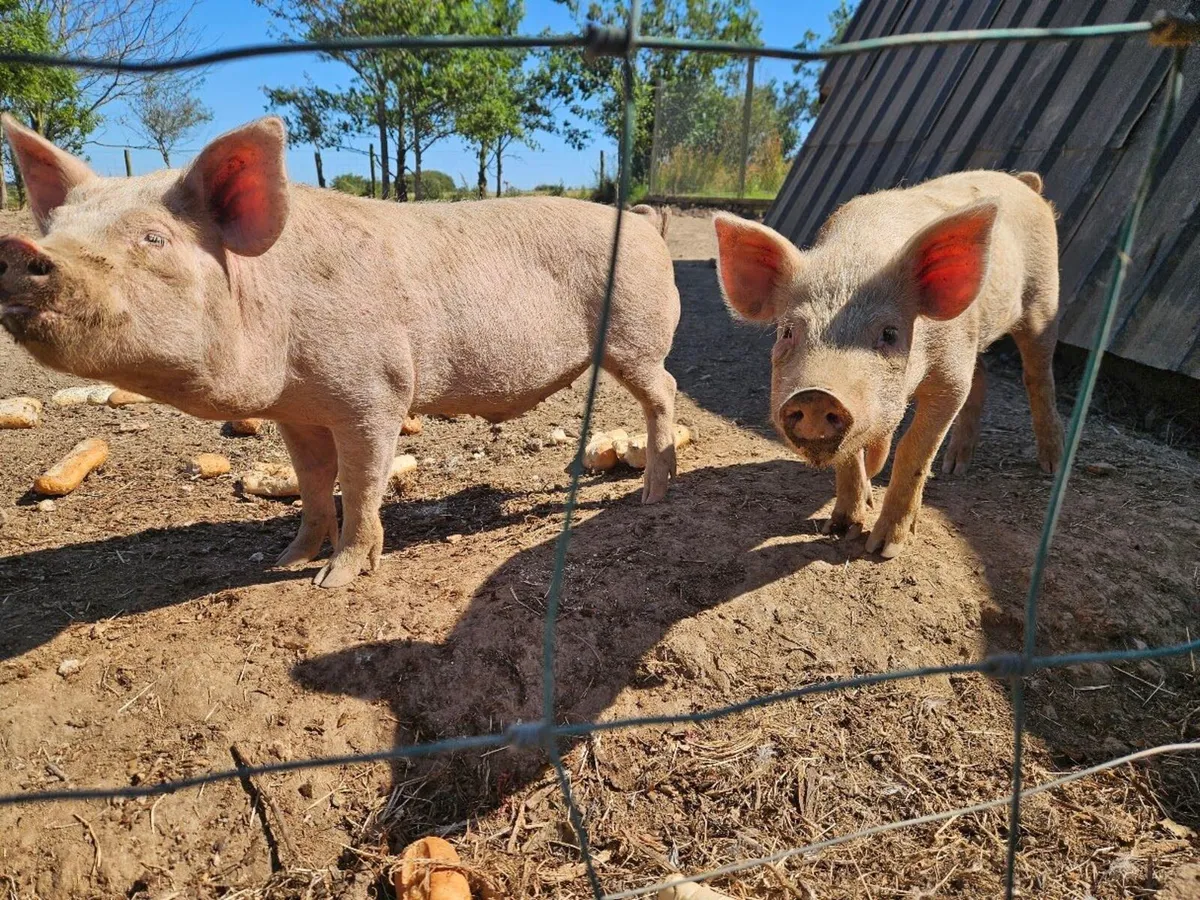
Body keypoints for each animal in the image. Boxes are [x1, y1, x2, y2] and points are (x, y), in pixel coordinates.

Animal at [0, 115, 681, 587]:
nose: (19, 249)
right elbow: (310, 482)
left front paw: (334, 580)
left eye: (153, 238)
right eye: (54, 227)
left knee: (665, 391)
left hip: (637, 333)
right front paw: (285, 560)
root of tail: (646, 223)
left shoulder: (376, 391)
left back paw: (652, 495)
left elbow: (358, 483)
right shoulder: (295, 411)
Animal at [714, 170, 1065, 558]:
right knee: (983, 376)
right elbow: (851, 456)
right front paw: (840, 528)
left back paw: (1051, 464)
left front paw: (884, 549)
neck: (855, 259)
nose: (815, 395)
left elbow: (913, 448)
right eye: (788, 330)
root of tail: (1025, 183)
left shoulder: (950, 380)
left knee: (1037, 374)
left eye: (890, 333)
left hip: (1044, 300)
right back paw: (955, 467)